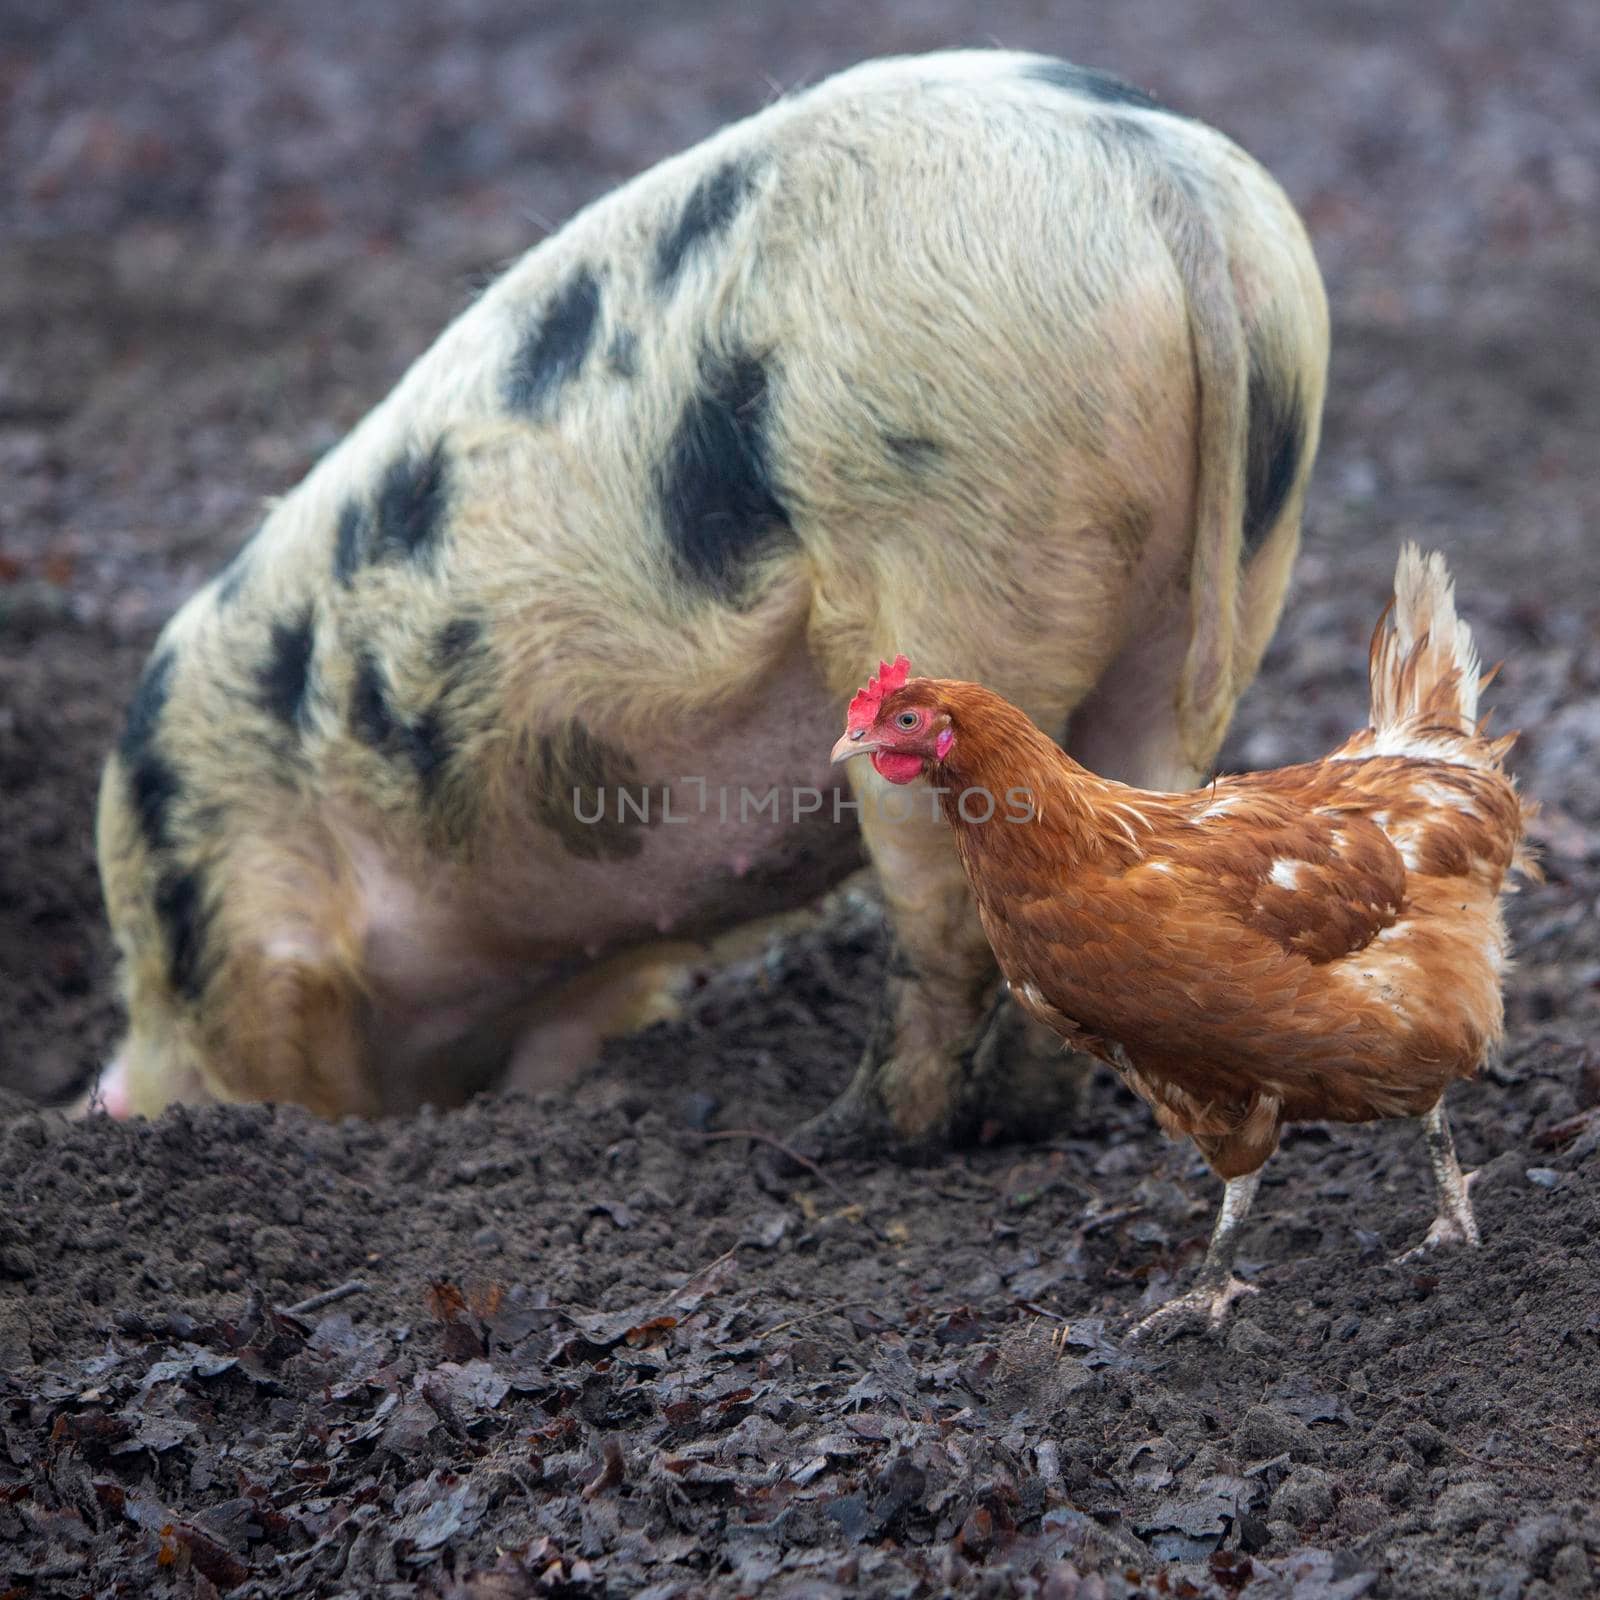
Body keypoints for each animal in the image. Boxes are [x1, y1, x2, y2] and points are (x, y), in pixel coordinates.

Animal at [93, 50, 1331, 1152]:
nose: (120, 1099)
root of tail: (1155, 177)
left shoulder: (247, 922)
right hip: (1227, 560)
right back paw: (1010, 1118)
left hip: (949, 570)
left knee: (946, 921)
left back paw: (831, 1138)